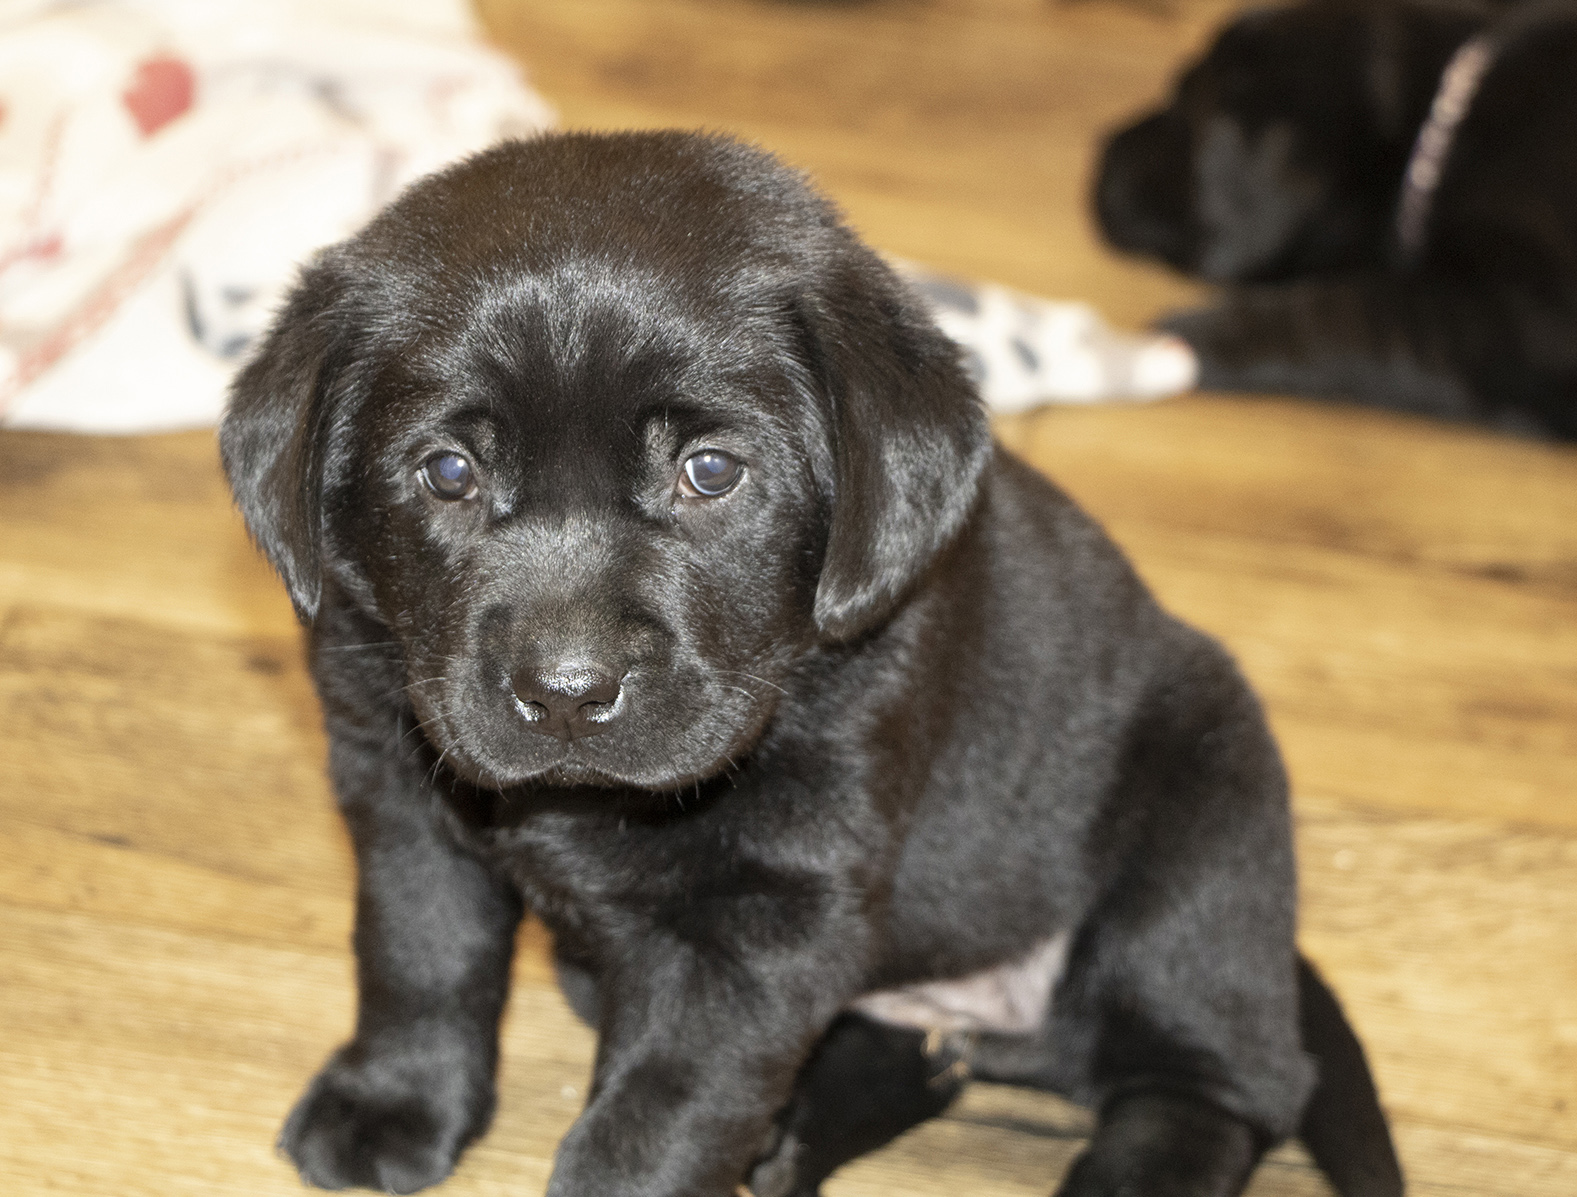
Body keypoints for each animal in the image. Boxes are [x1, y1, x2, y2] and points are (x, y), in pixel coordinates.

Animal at [219, 130, 1406, 1197]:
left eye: (710, 472)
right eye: (449, 472)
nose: (564, 691)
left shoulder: (768, 916)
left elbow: (662, 1112)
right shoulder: (397, 784)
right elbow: (417, 957)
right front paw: (389, 1104)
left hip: (1206, 848)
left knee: (1212, 1093)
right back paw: (795, 1142)